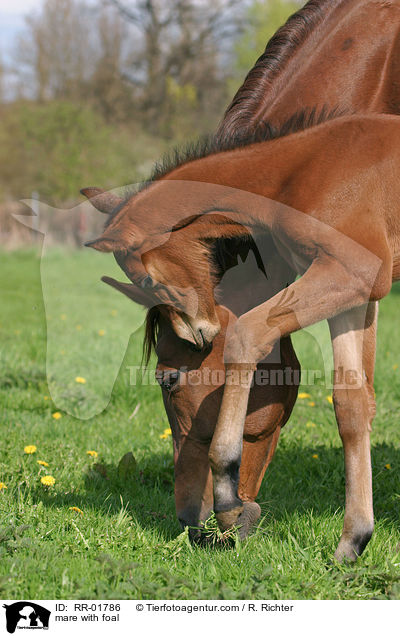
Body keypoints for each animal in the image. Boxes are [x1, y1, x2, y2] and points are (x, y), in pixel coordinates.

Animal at [81, 0, 400, 552]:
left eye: (168, 378)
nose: (191, 515)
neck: (306, 164)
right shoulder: (357, 291)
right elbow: (353, 402)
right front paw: (354, 539)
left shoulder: (347, 274)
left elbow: (247, 335)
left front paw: (227, 483)